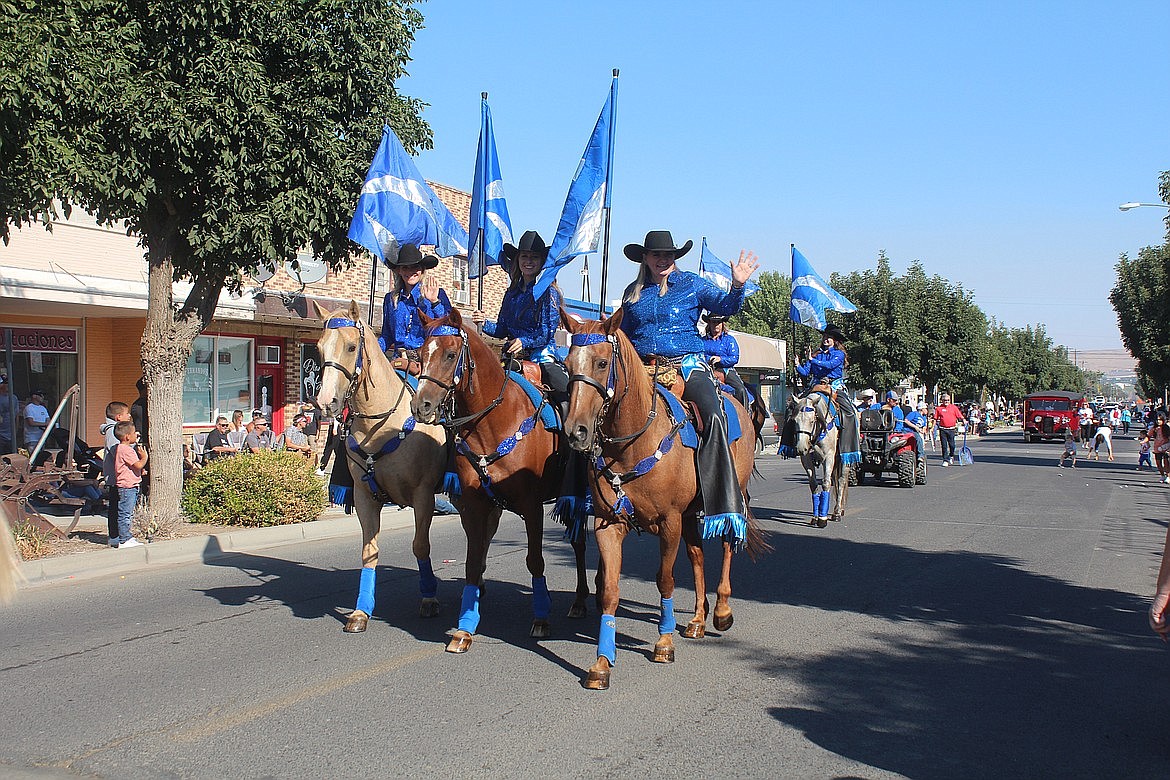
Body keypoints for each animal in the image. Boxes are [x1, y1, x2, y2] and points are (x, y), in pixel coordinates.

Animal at [313, 299, 449, 636]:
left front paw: (429, 598)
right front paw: (361, 611)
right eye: (319, 348)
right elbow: (369, 552)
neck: (381, 424)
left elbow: (420, 546)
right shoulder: (365, 497)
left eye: (351, 347)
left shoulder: (423, 495)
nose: (326, 402)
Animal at [411, 308, 594, 654]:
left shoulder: (532, 506)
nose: (421, 406)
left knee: (581, 544)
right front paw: (464, 629)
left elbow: (535, 561)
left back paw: (581, 600)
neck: (495, 421)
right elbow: (472, 562)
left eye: (451, 354)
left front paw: (541, 618)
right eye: (420, 354)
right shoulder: (474, 504)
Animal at [559, 308, 762, 692]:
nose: (576, 431)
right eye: (566, 363)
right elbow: (609, 591)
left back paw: (721, 611)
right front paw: (602, 663)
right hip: (691, 514)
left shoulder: (668, 521)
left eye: (602, 362)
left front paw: (664, 642)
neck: (631, 443)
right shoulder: (609, 524)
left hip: (727, 494)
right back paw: (697, 619)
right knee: (697, 556)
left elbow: (665, 579)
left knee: (727, 541)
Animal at [786, 390, 851, 530]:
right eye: (795, 421)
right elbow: (813, 485)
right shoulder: (806, 459)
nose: (801, 447)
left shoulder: (829, 457)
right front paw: (816, 517)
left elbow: (826, 483)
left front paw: (822, 519)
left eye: (812, 421)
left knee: (841, 481)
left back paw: (837, 512)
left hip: (845, 459)